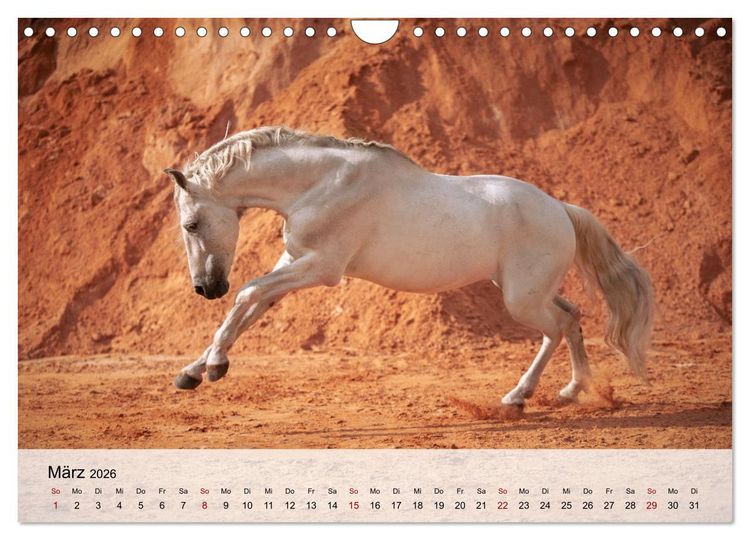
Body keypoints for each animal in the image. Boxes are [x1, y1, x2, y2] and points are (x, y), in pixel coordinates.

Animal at [164, 126, 654, 407]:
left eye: (191, 224)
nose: (205, 287)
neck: (320, 183)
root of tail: (560, 209)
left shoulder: (321, 268)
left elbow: (247, 293)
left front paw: (215, 367)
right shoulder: (294, 261)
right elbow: (249, 309)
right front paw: (191, 373)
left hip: (522, 300)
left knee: (556, 327)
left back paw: (520, 396)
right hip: (527, 289)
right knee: (572, 317)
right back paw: (571, 391)